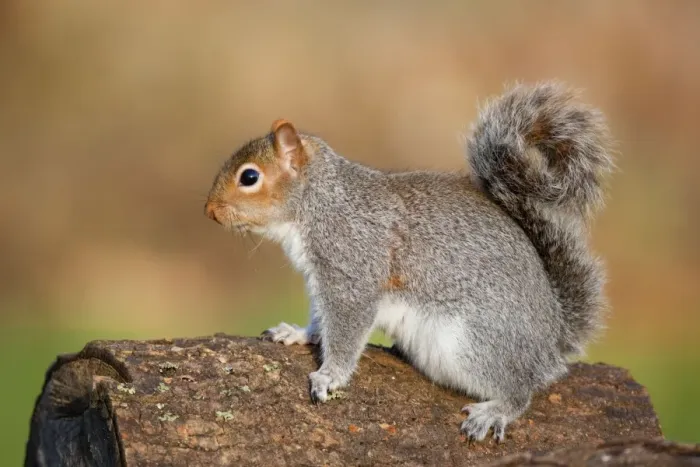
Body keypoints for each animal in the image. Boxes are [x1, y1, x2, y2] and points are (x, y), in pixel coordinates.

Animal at [204, 81, 615, 442]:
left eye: (250, 177)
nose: (209, 211)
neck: (320, 203)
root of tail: (550, 344)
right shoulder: (322, 281)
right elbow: (321, 320)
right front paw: (297, 334)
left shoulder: (353, 271)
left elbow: (346, 332)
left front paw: (329, 377)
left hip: (477, 344)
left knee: (520, 390)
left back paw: (495, 411)